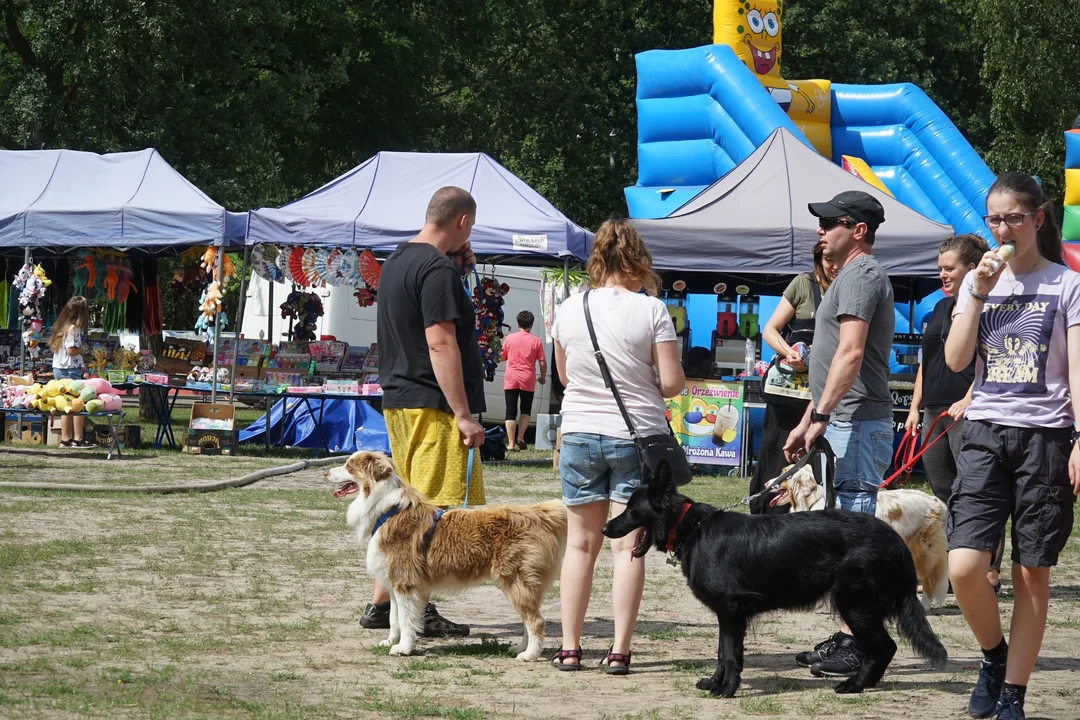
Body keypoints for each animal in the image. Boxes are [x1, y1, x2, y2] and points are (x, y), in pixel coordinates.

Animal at [326, 453, 565, 660]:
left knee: (536, 621)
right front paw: (390, 642)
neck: (386, 509)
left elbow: (405, 620)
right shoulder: (393, 584)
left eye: (349, 466)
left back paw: (529, 655)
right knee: (527, 619)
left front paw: (403, 648)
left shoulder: (404, 583)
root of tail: (537, 514)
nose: (326, 472)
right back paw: (519, 648)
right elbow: (394, 619)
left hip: (516, 580)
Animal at [768, 468, 946, 608]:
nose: (766, 484)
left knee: (930, 579)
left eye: (785, 474)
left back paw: (925, 605)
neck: (813, 501)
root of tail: (936, 501)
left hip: (925, 551)